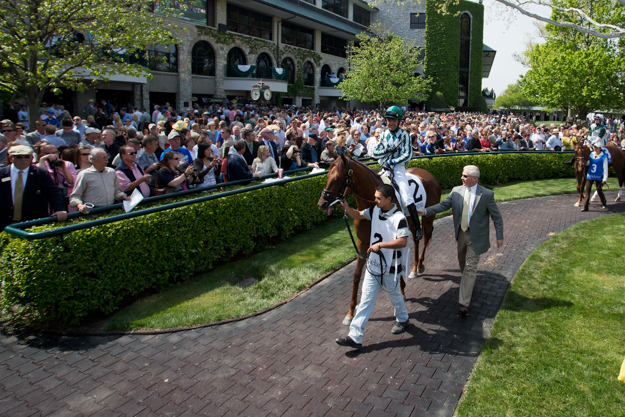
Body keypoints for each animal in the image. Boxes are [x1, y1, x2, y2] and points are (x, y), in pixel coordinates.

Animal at [314, 154, 442, 324]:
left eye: (339, 177)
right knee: (417, 238)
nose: (322, 203)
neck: (373, 203)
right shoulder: (362, 243)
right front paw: (350, 313)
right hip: (410, 222)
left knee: (426, 236)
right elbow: (356, 276)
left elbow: (397, 265)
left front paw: (401, 291)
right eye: (328, 175)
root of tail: (429, 174)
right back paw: (415, 268)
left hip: (428, 215)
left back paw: (419, 265)